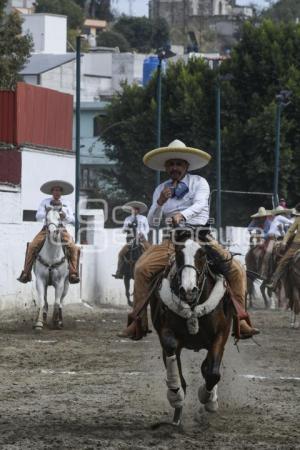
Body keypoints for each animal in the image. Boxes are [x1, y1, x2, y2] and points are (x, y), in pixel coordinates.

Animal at [150, 229, 232, 426]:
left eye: (202, 253)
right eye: (179, 253)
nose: (188, 290)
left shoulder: (221, 334)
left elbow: (213, 373)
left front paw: (207, 397)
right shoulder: (166, 333)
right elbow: (171, 348)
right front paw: (176, 395)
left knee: (208, 367)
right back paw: (177, 411)